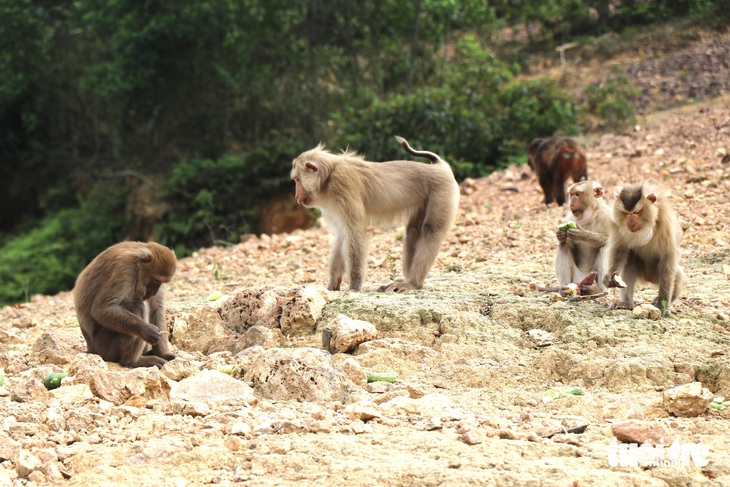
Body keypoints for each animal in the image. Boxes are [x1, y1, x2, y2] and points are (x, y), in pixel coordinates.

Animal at [288, 135, 456, 292]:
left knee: (431, 231)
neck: (328, 178)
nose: (296, 197)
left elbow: (353, 232)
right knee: (413, 231)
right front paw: (333, 282)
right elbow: (343, 233)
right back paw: (407, 281)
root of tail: (440, 166)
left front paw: (354, 286)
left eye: (297, 180)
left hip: (442, 191)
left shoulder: (342, 184)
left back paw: (413, 283)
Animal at [596, 183, 684, 312]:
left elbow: (668, 256)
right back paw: (626, 303)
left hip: (656, 274)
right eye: (626, 213)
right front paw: (609, 276)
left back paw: (669, 297)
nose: (630, 224)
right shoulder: (615, 223)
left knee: (676, 274)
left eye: (636, 212)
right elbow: (619, 249)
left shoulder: (665, 222)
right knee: (630, 261)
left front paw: (662, 304)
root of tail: (649, 279)